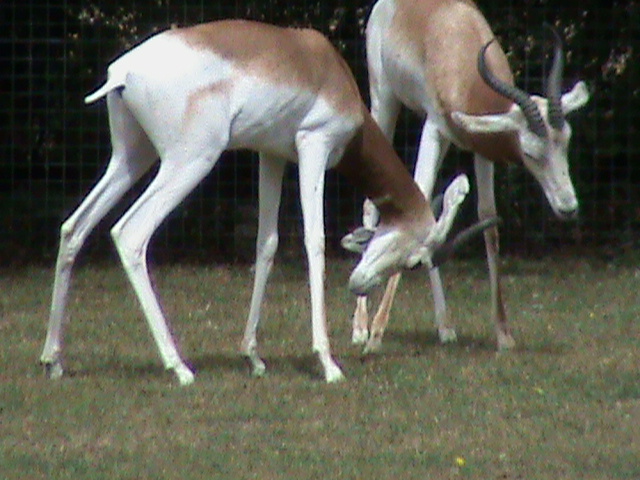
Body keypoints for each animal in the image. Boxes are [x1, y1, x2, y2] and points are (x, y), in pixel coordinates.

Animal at [39, 19, 477, 385]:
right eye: (416, 261)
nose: (358, 284)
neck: (324, 67)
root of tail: (123, 72)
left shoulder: (272, 155)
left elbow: (266, 244)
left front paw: (253, 357)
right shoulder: (313, 146)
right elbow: (314, 241)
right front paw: (327, 362)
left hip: (131, 157)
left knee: (74, 226)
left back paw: (54, 360)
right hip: (189, 161)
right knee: (130, 233)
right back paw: (179, 367)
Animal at [345, 0, 590, 353]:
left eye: (566, 142)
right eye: (530, 152)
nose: (568, 207)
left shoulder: (482, 147)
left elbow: (488, 219)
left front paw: (503, 335)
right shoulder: (433, 127)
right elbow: (419, 197)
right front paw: (376, 335)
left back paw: (445, 328)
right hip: (384, 100)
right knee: (372, 201)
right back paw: (360, 328)